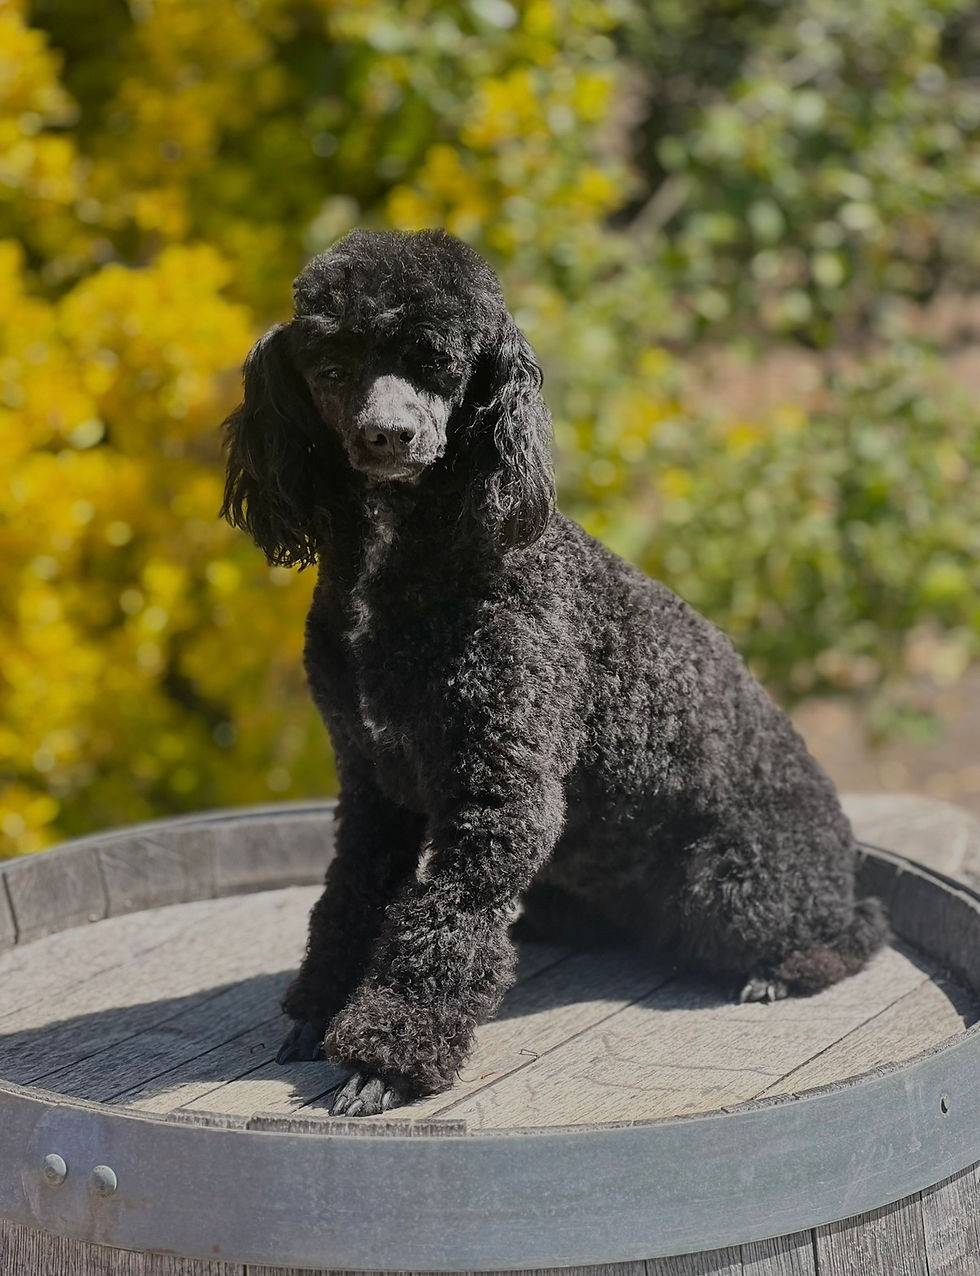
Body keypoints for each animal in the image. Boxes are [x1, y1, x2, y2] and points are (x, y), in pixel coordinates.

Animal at [220, 228, 887, 1116]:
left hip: (729, 886)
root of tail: (838, 853)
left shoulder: (502, 788)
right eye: (331, 370)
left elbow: (445, 927)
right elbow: (349, 899)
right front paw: (316, 1011)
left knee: (859, 928)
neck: (410, 567)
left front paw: (383, 1065)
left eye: (439, 364)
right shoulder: (371, 783)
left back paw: (780, 972)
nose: (389, 435)